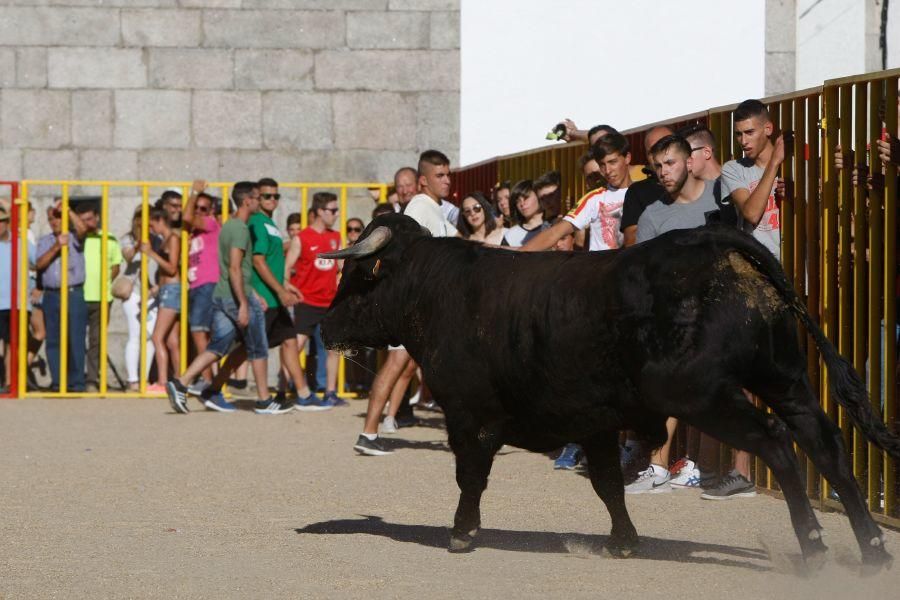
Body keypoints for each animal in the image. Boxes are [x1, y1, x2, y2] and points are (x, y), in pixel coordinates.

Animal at [318, 213, 900, 568]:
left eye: (358, 278)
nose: (324, 327)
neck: (437, 290)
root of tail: (710, 240)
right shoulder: (593, 423)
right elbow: (607, 485)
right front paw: (624, 541)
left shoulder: (470, 415)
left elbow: (471, 477)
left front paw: (462, 533)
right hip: (783, 378)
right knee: (826, 445)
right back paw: (872, 549)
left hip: (708, 396)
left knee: (779, 444)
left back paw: (816, 547)